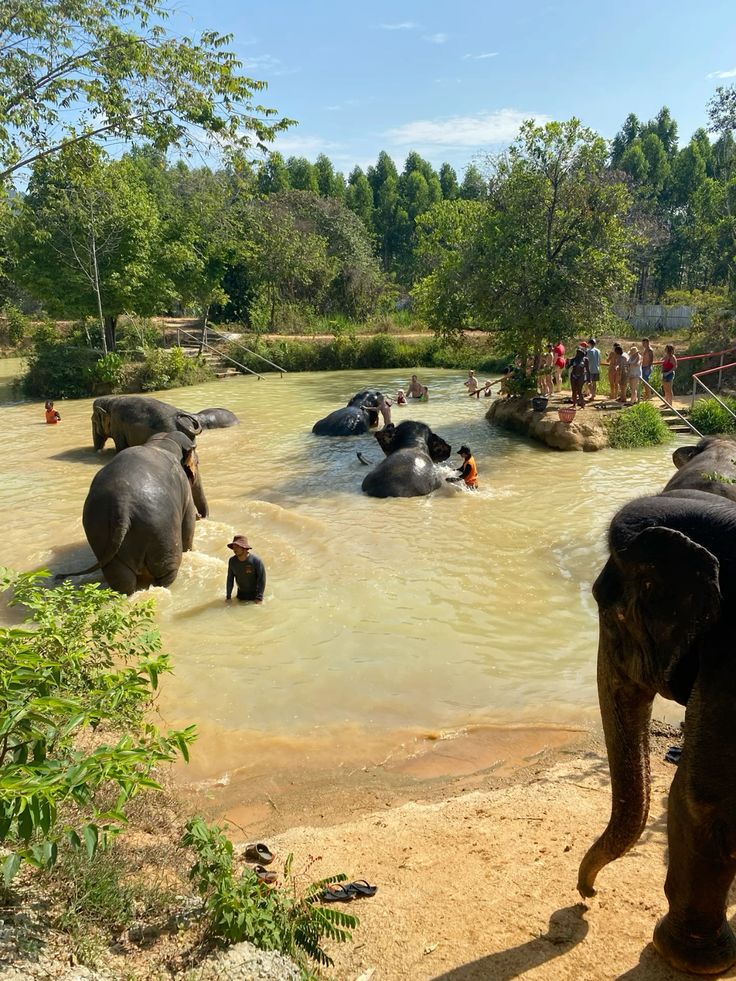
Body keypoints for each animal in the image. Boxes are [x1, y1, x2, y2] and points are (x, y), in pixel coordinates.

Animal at [65, 431, 209, 595]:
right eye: (197, 463)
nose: (201, 516)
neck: (163, 441)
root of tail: (122, 503)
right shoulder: (184, 489)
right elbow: (188, 526)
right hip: (161, 529)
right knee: (166, 573)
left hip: (98, 529)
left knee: (122, 580)